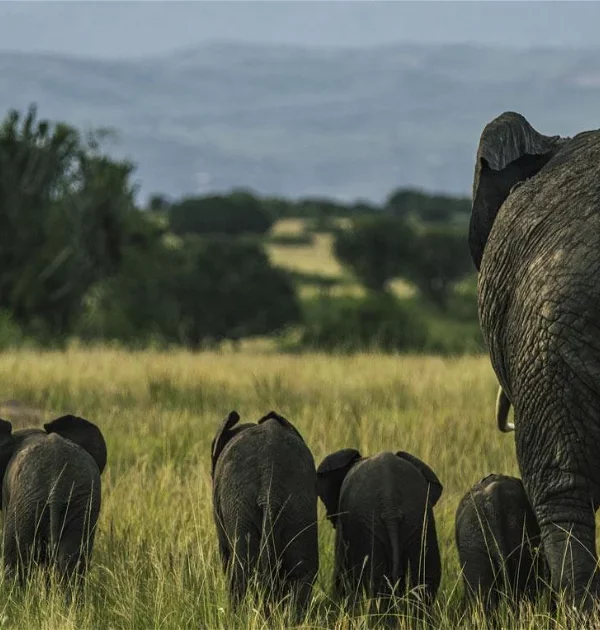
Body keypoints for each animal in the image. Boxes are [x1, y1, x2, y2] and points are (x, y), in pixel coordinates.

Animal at [316, 452, 442, 616]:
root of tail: (390, 506)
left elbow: (341, 574)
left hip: (368, 527)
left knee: (375, 585)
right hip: (419, 522)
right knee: (424, 581)